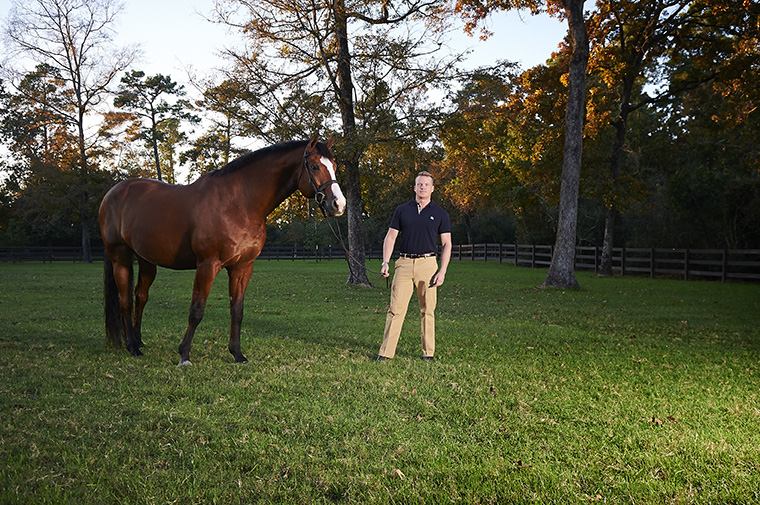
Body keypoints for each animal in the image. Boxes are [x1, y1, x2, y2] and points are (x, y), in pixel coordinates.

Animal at [99, 135, 346, 366]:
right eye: (314, 166)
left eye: (334, 165)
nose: (339, 204)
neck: (239, 203)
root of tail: (113, 192)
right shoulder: (207, 265)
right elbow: (196, 310)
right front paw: (184, 355)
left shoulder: (242, 267)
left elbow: (237, 310)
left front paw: (237, 354)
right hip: (120, 257)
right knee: (124, 300)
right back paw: (132, 347)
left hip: (147, 260)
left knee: (140, 297)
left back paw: (139, 340)